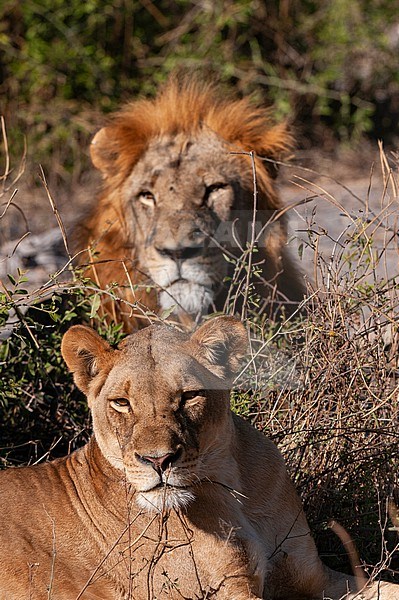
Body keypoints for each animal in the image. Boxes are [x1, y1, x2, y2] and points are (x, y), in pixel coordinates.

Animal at [0, 316, 396, 596]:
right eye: (122, 403)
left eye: (189, 396)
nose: (158, 461)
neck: (231, 487)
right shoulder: (221, 589)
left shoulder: (317, 578)